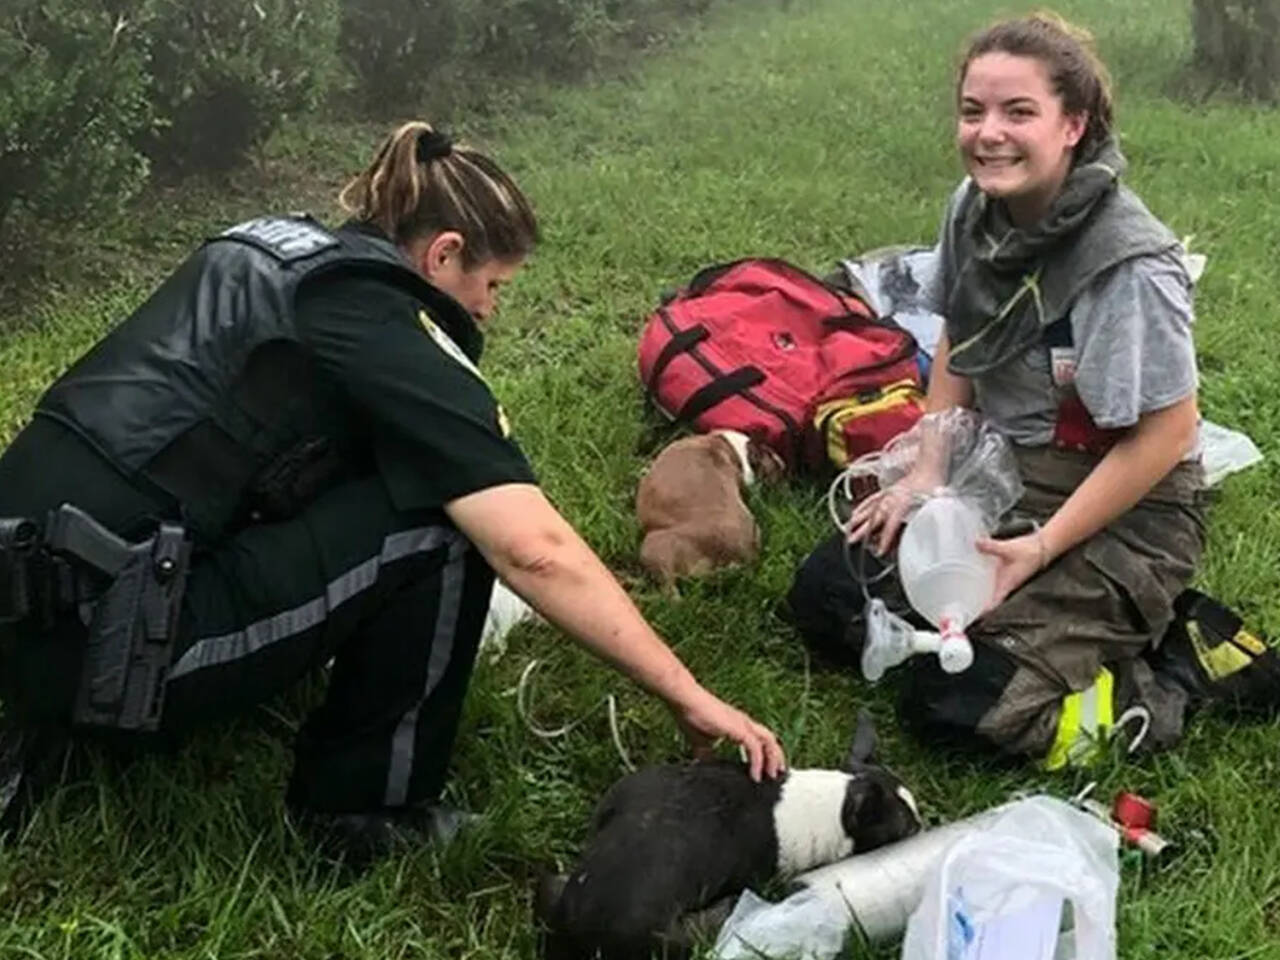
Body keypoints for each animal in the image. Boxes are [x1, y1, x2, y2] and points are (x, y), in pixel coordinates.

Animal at [537, 711, 921, 957]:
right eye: (907, 829)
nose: (923, 827)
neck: (837, 804)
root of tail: (578, 915)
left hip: (556, 882)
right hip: (678, 934)